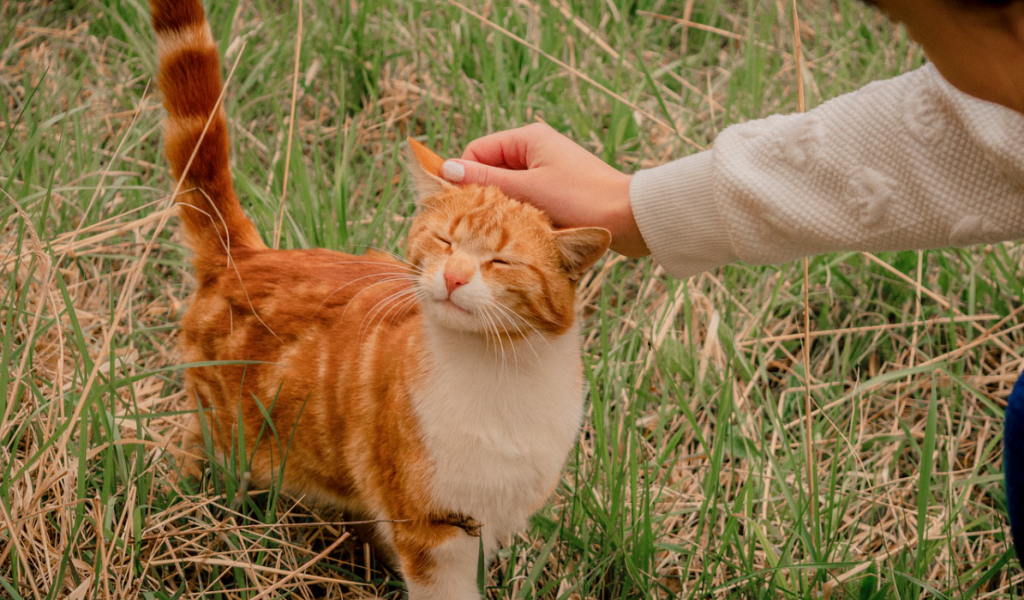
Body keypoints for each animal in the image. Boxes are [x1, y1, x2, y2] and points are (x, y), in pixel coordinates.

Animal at [149, 2, 610, 593]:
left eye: (500, 261)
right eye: (444, 241)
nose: (454, 276)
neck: (502, 375)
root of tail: (245, 255)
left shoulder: (497, 520)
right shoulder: (432, 531)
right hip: (226, 438)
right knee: (196, 454)